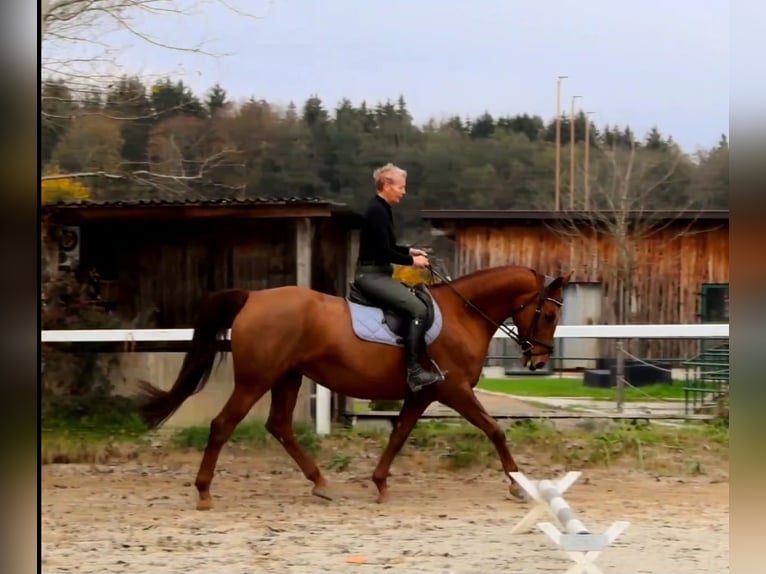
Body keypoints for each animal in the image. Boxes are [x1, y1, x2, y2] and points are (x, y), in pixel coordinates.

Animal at [135, 264, 572, 510]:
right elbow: (495, 429)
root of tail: (253, 297)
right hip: (256, 379)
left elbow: (398, 435)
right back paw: (204, 492)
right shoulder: (453, 390)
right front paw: (518, 486)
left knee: (279, 426)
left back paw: (321, 484)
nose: (538, 360)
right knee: (223, 425)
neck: (462, 313)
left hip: (288, 377)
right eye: (550, 314)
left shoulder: (422, 394)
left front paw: (379, 484)